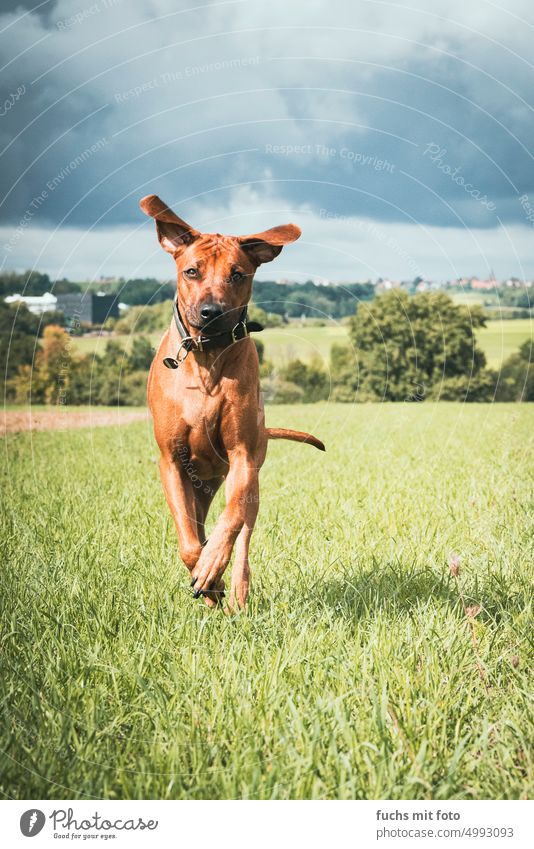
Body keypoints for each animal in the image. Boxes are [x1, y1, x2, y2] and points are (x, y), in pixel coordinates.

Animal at [142, 197, 324, 608]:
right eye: (192, 271)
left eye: (238, 274)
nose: (212, 313)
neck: (208, 356)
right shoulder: (170, 462)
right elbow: (189, 542)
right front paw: (206, 578)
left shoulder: (242, 456)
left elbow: (231, 522)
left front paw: (214, 569)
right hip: (200, 486)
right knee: (200, 526)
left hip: (248, 472)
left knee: (242, 530)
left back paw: (236, 587)